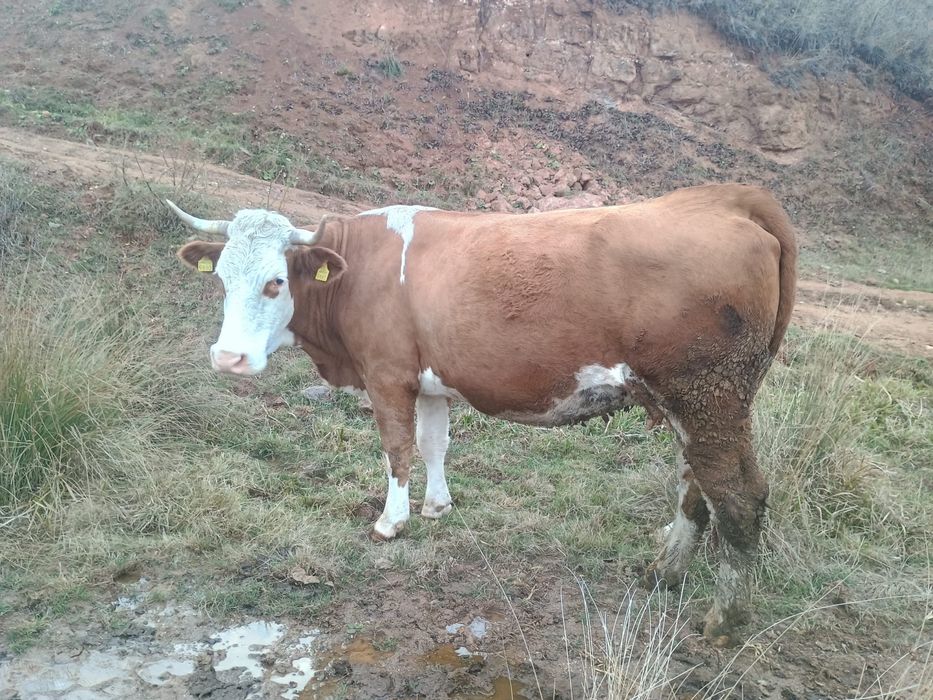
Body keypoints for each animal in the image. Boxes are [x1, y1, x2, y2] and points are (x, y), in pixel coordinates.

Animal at [170, 183, 797, 645]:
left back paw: (723, 621)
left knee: (738, 497)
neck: (357, 270)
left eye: (276, 281)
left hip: (708, 397)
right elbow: (433, 444)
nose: (228, 358)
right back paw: (662, 573)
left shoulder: (387, 375)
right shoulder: (429, 383)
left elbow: (396, 448)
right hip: (698, 406)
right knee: (697, 487)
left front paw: (390, 521)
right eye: (221, 278)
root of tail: (724, 199)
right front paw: (436, 507)